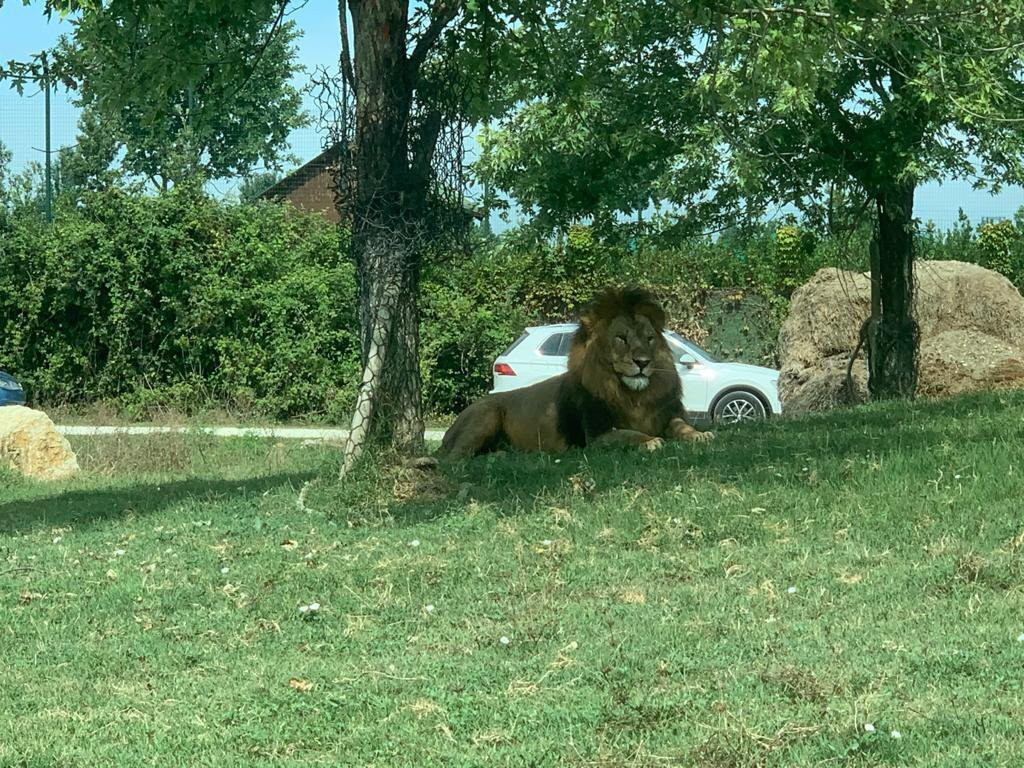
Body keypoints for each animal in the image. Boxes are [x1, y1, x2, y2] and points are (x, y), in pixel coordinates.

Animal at [436, 286, 716, 460]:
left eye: (649, 339)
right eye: (622, 339)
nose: (643, 362)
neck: (633, 397)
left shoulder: (667, 415)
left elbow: (682, 426)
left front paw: (700, 435)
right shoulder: (596, 436)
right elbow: (626, 434)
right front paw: (649, 441)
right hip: (485, 414)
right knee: (455, 458)